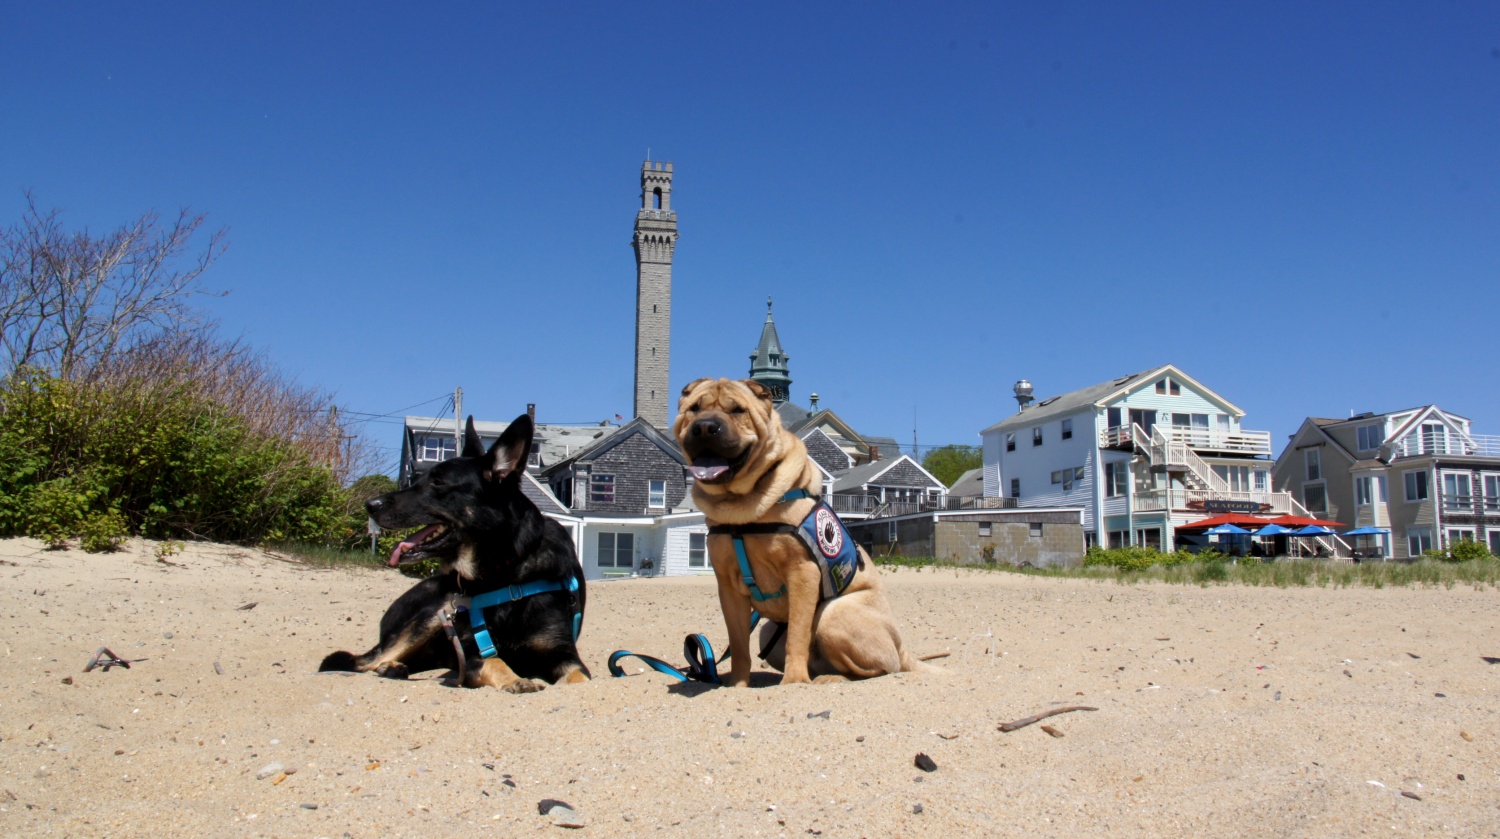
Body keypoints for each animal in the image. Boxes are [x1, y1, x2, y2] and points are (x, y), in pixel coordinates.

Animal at [319, 414, 588, 696]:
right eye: (419, 480)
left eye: (438, 482)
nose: (370, 505)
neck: (503, 573)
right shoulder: (471, 656)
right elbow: (494, 662)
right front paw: (516, 680)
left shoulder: (566, 657)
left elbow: (579, 679)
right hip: (433, 614)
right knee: (366, 662)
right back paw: (389, 666)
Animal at [678, 381, 924, 690]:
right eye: (694, 409)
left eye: (737, 410)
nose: (705, 427)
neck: (743, 510)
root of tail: (902, 649)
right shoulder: (728, 588)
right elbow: (739, 645)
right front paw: (737, 685)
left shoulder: (802, 572)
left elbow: (797, 633)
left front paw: (794, 681)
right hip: (768, 630)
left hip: (833, 613)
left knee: (881, 669)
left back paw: (830, 678)